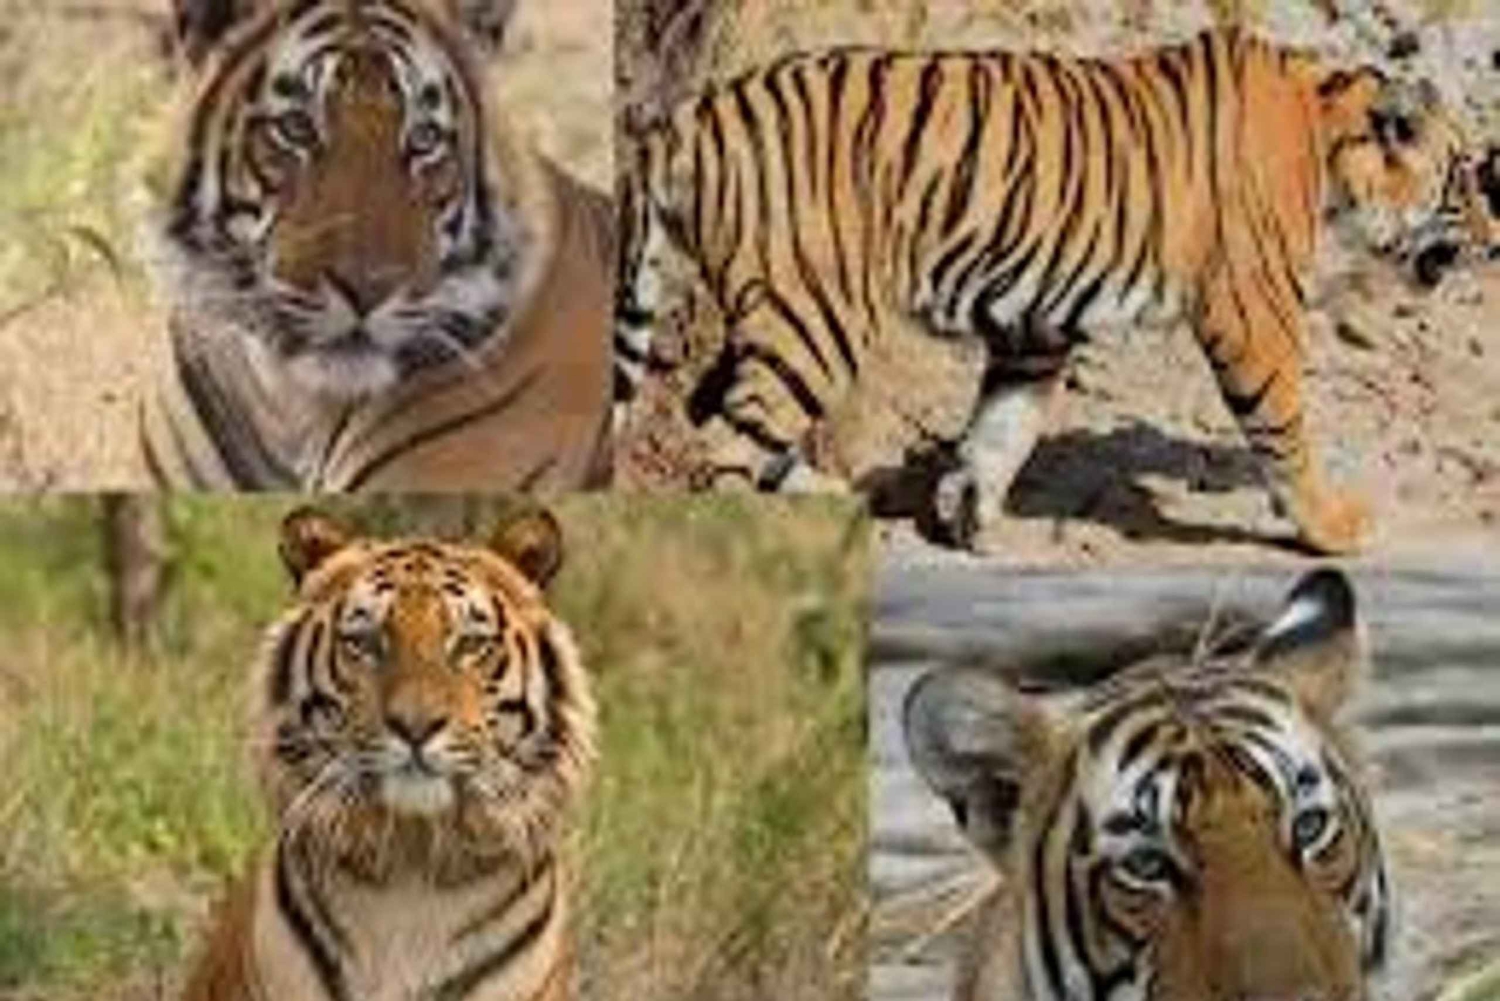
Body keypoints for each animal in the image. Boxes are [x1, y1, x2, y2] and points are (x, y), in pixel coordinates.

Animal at [616, 27, 1500, 554]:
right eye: (1464, 176)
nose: (1496, 240)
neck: (1329, 154)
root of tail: (694, 110)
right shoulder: (1253, 313)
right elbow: (1286, 426)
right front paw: (1330, 526)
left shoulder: (1034, 323)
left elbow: (1002, 428)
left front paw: (971, 520)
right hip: (816, 312)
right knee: (727, 438)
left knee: (723, 415)